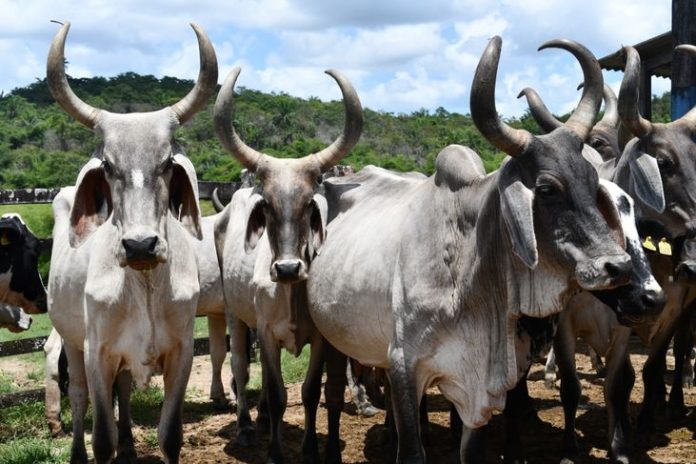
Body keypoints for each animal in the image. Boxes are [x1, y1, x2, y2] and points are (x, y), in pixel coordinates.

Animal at [45, 21, 217, 464]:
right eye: (108, 165)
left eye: (167, 162)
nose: (140, 246)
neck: (144, 284)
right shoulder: (97, 352)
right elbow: (100, 436)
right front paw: (101, 447)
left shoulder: (181, 353)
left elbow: (169, 435)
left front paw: (132, 443)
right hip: (71, 341)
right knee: (78, 398)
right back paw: (77, 451)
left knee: (123, 390)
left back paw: (128, 445)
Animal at [213, 67, 363, 463]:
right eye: (266, 204)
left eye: (310, 203)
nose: (287, 269)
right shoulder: (265, 332)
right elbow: (281, 394)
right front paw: (276, 453)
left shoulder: (320, 340)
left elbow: (309, 392)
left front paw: (309, 449)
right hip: (235, 312)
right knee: (240, 366)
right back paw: (247, 426)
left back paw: (263, 418)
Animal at [307, 36, 633, 464]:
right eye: (546, 188)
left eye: (592, 180)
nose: (619, 266)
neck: (466, 271)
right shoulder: (404, 365)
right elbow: (412, 451)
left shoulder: (476, 389)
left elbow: (470, 449)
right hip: (327, 337)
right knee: (327, 392)